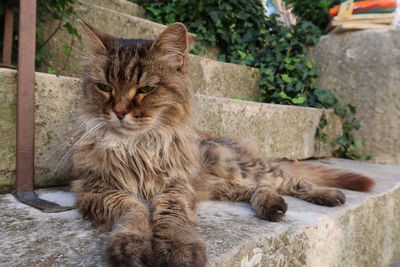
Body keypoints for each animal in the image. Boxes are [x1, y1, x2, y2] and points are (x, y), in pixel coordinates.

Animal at [70, 21, 374, 267]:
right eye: (104, 87)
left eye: (146, 89)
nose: (119, 112)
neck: (138, 147)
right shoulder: (99, 189)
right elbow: (133, 212)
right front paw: (130, 245)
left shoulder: (176, 188)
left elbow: (171, 218)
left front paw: (180, 248)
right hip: (220, 184)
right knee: (255, 189)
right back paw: (271, 205)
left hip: (240, 167)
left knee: (290, 182)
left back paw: (328, 195)